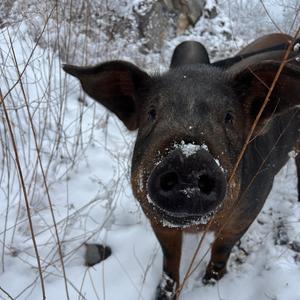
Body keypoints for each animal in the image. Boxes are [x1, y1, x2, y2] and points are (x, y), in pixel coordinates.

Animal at [63, 34, 300, 298]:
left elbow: (221, 249)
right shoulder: (158, 221)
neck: (197, 227)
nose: (188, 159)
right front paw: (164, 293)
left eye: (229, 117)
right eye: (151, 113)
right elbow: (170, 259)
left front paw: (210, 284)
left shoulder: (250, 208)